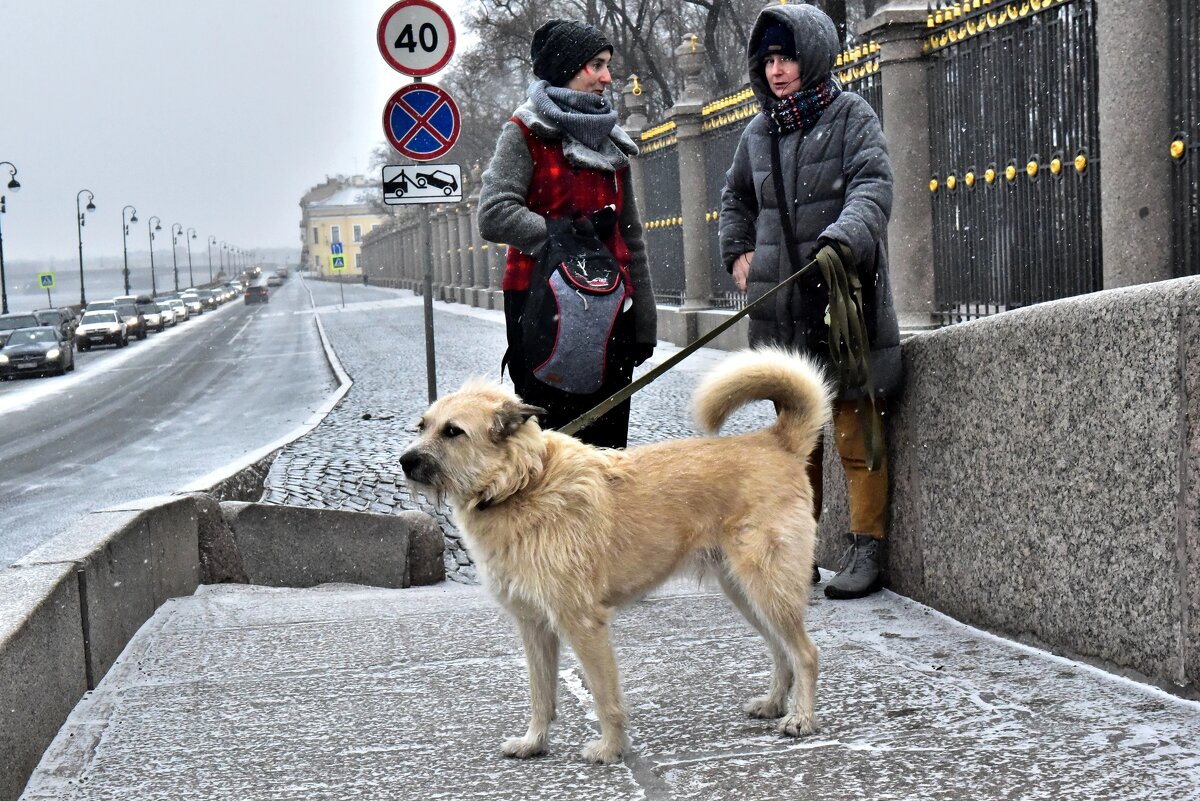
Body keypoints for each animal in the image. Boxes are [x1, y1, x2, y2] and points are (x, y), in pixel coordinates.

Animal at [398, 347, 830, 762]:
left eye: (453, 431)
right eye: (422, 426)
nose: (404, 461)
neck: (520, 484)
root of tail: (775, 441)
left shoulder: (583, 623)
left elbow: (605, 697)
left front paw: (611, 749)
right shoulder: (534, 625)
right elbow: (541, 695)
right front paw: (534, 743)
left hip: (768, 589)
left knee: (806, 652)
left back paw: (802, 718)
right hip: (746, 593)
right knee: (781, 651)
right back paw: (774, 704)